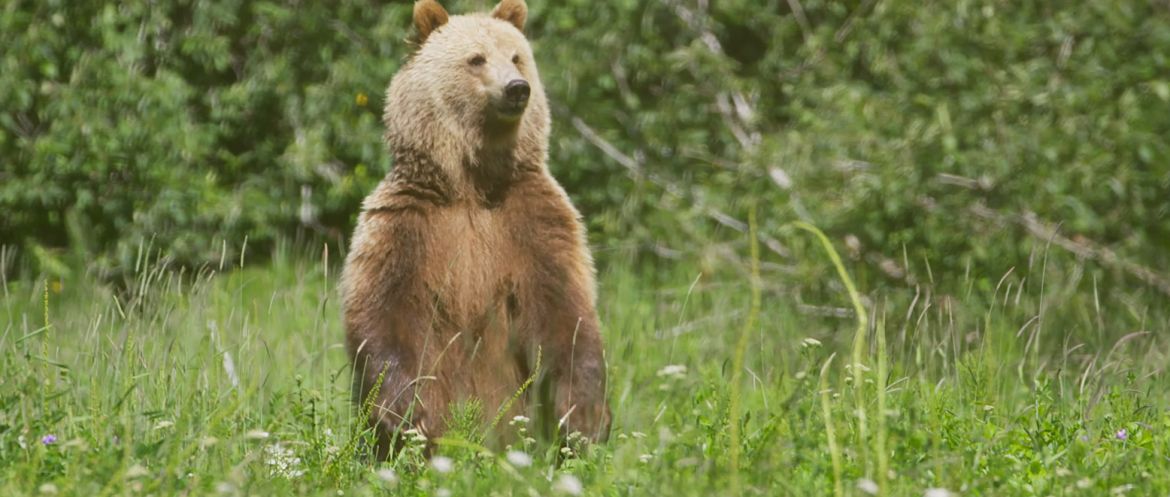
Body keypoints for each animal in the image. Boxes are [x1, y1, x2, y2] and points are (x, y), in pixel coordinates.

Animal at [339, 0, 613, 456]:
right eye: (476, 58)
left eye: (516, 56)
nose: (517, 88)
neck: (471, 183)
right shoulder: (407, 225)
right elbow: (385, 314)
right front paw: (409, 420)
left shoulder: (532, 221)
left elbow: (565, 311)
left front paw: (584, 421)